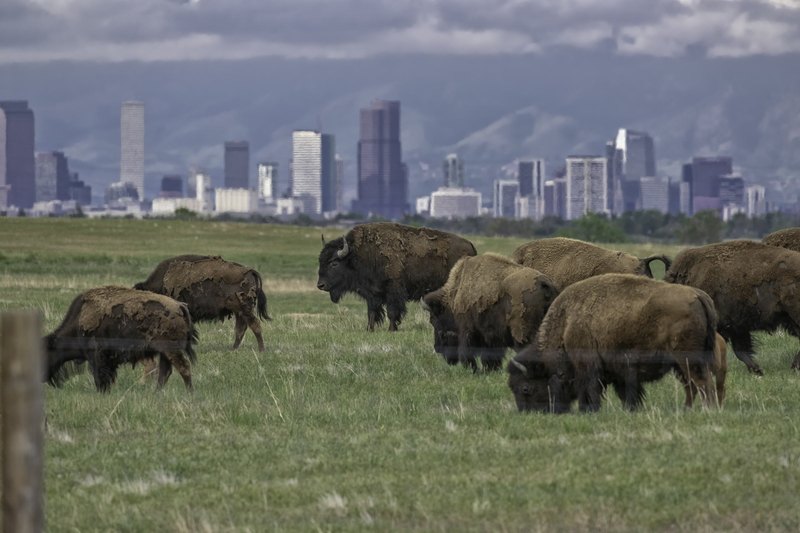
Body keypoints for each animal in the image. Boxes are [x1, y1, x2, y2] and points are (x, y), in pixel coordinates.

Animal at [44, 286, 198, 392]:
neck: (79, 320)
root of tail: (180, 306)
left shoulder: (96, 357)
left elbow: (99, 377)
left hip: (171, 350)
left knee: (183, 368)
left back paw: (189, 393)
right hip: (164, 352)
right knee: (165, 372)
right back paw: (157, 393)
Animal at [135, 255, 270, 352]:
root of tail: (250, 271)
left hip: (244, 308)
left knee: (254, 325)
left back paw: (261, 350)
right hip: (239, 311)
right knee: (241, 328)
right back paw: (234, 349)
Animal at [317, 222, 477, 331]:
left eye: (334, 263)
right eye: (320, 261)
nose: (320, 285)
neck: (358, 255)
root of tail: (471, 246)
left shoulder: (393, 290)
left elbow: (392, 312)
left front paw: (391, 329)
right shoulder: (372, 294)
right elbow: (371, 312)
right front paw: (369, 329)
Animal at [422, 253, 558, 371]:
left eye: (433, 320)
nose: (437, 349)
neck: (454, 296)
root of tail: (544, 284)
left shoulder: (467, 330)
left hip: (522, 332)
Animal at [508, 274, 719, 413]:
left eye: (525, 388)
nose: (528, 413)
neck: (566, 322)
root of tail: (698, 295)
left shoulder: (588, 365)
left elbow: (590, 388)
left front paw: (589, 410)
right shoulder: (620, 372)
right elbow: (626, 392)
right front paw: (631, 409)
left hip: (688, 358)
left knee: (701, 382)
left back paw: (706, 409)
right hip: (681, 363)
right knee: (691, 386)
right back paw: (687, 409)